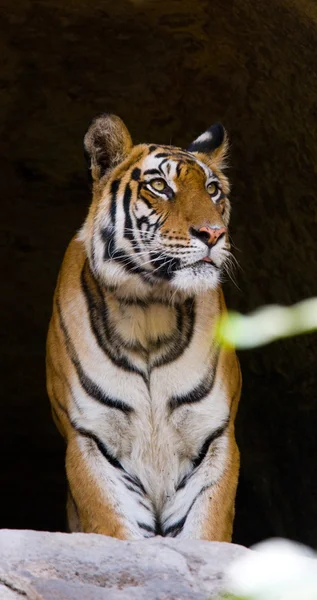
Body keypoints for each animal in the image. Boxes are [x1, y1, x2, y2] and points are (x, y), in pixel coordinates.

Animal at [46, 111, 239, 540]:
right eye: (159, 186)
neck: (151, 311)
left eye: (213, 189)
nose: (213, 234)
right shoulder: (90, 440)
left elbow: (205, 530)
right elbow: (114, 528)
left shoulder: (214, 437)